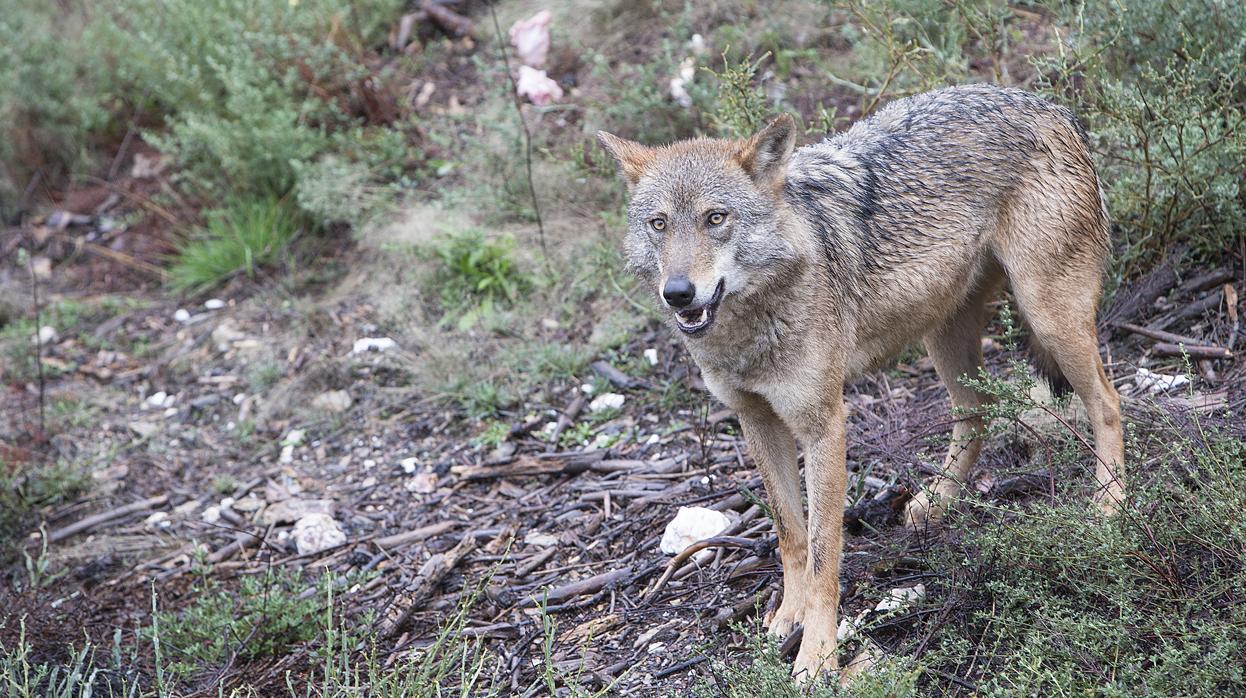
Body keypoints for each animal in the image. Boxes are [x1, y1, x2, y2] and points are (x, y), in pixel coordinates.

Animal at [598, 84, 1126, 678]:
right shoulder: (756, 422)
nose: (678, 292)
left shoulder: (824, 425)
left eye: (716, 218)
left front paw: (817, 655)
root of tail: (1052, 106)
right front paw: (788, 616)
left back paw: (1109, 507)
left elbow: (824, 551)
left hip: (1048, 317)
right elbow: (790, 534)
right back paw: (937, 504)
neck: (751, 328)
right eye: (659, 224)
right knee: (976, 412)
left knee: (1108, 402)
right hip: (945, 339)